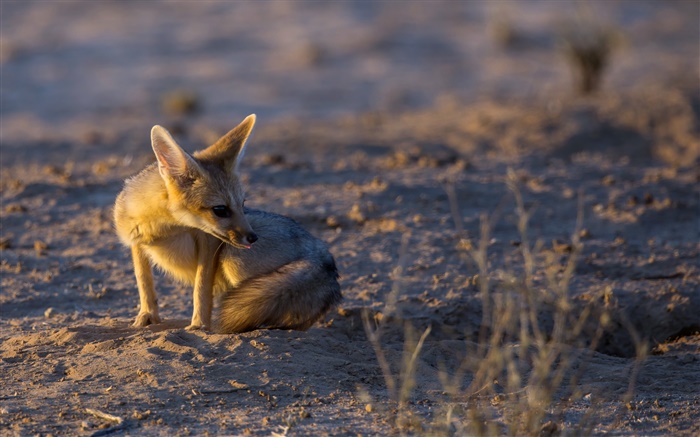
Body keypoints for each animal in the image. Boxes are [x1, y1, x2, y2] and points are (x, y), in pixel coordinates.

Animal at [113, 114, 340, 332]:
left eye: (243, 203)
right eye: (220, 210)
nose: (253, 237)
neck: (162, 230)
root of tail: (322, 252)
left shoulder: (209, 242)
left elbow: (201, 288)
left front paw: (199, 324)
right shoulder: (137, 243)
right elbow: (144, 282)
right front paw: (147, 316)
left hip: (234, 259)